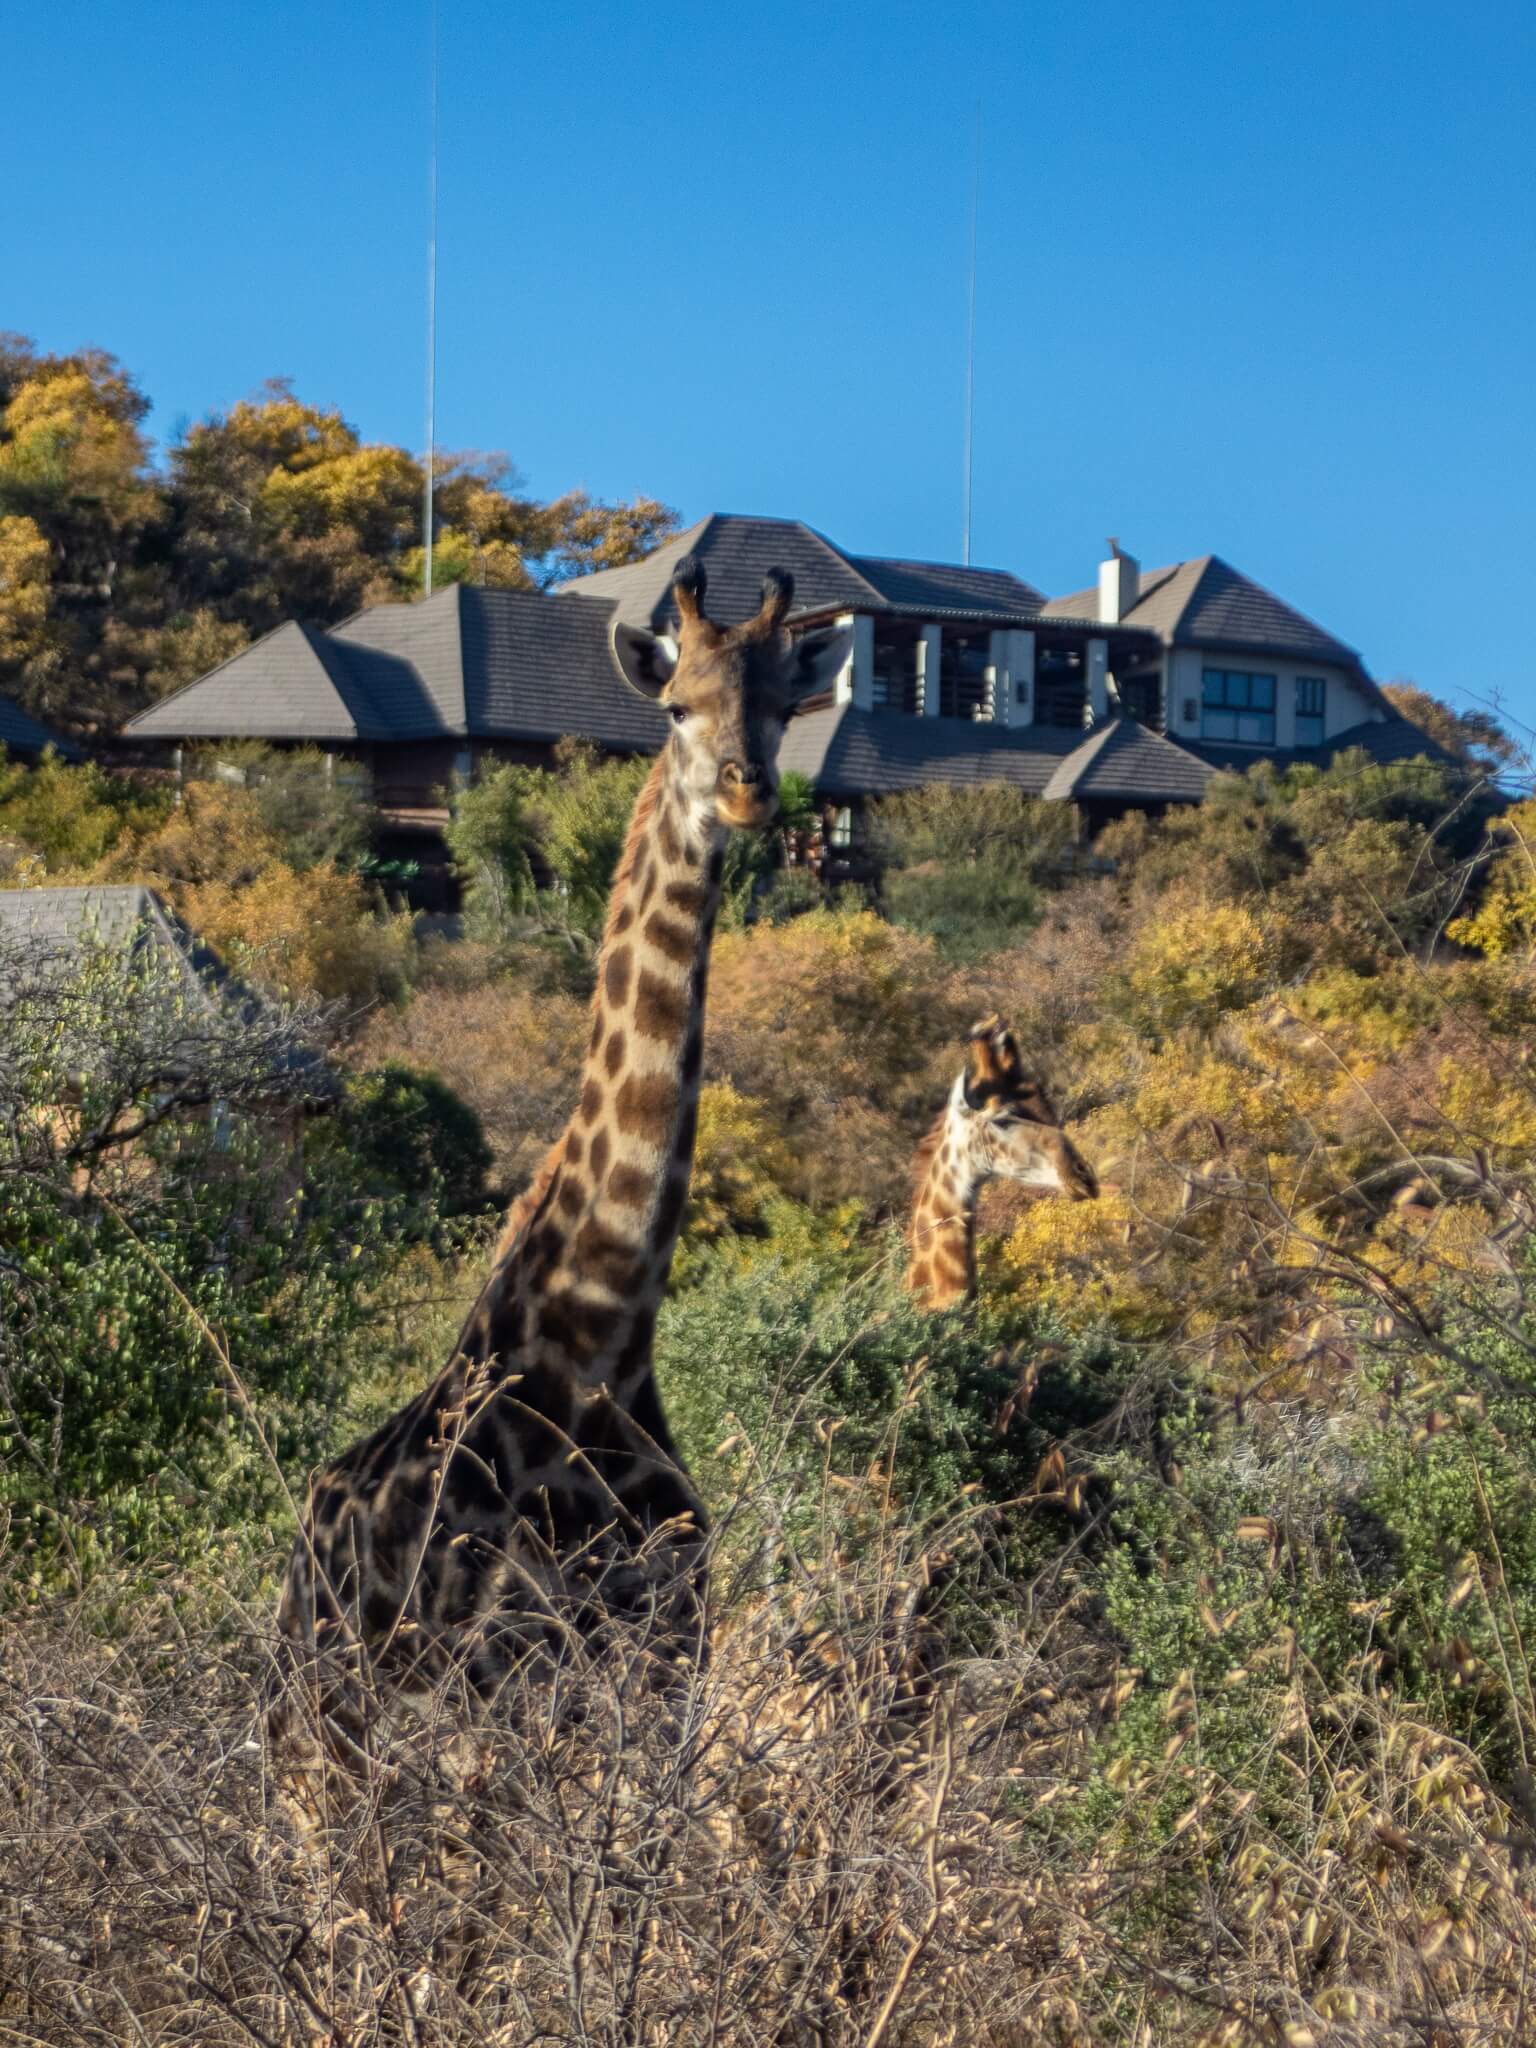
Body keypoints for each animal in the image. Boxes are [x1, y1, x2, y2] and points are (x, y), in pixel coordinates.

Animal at [273, 558, 851, 1741]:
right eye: (675, 707)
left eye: (784, 706)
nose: (745, 790)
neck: (602, 1339)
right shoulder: (498, 1674)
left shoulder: (670, 1651)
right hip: (330, 1724)